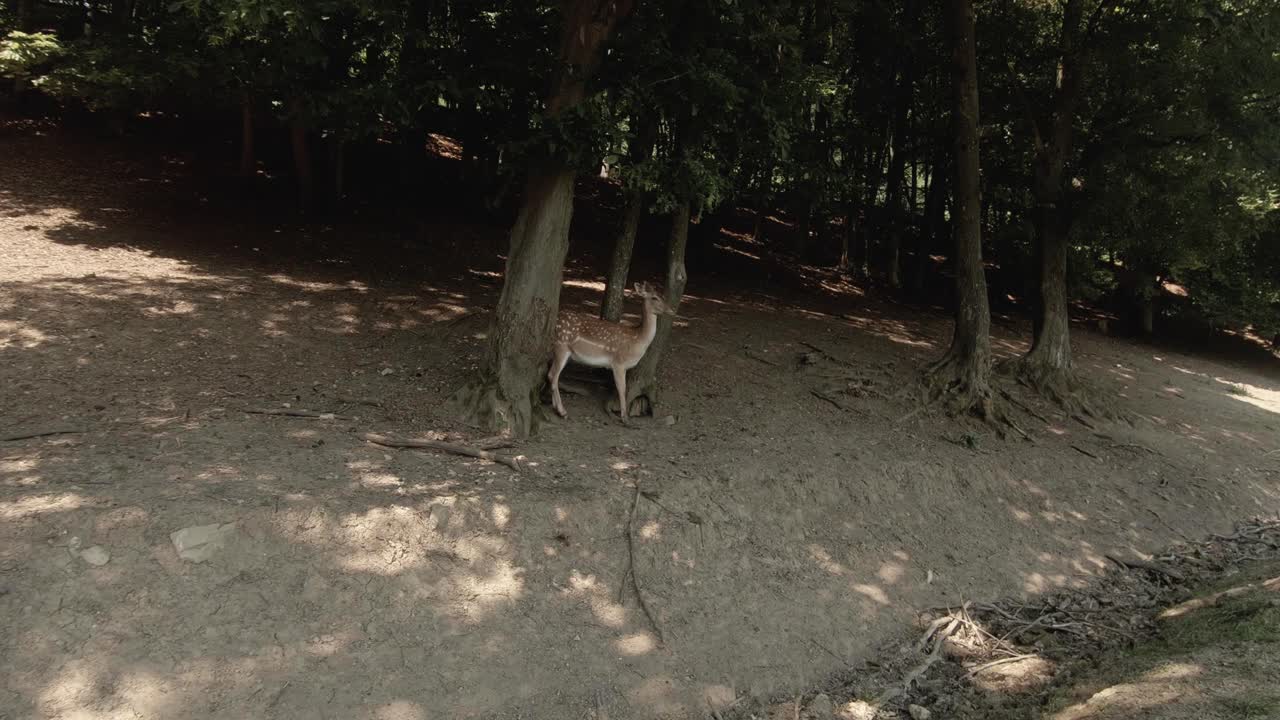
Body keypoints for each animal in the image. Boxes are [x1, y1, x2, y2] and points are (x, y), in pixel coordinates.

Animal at [548, 281, 675, 422]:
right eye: (654, 298)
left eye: (662, 295)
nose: (672, 310)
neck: (636, 340)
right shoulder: (618, 362)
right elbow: (621, 388)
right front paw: (625, 418)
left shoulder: (624, 366)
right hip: (561, 346)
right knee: (553, 375)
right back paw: (562, 411)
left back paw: (555, 407)